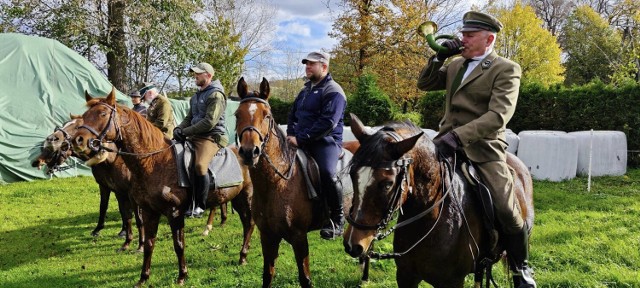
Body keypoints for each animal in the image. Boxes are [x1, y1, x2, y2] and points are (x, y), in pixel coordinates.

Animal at [31, 116, 144, 251]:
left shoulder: (128, 192)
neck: (112, 159)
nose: (51, 139)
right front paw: (101, 230)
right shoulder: (107, 187)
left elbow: (132, 213)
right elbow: (106, 207)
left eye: (77, 127)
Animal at [70, 89, 255, 286]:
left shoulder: (174, 213)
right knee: (246, 224)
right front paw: (143, 278)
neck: (154, 161)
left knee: (250, 223)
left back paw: (242, 254)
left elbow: (178, 244)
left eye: (103, 114)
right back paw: (242, 255)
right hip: (236, 199)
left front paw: (182, 276)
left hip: (247, 198)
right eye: (84, 116)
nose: (78, 140)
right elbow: (149, 244)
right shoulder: (149, 211)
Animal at [235, 77, 358, 288]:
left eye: (267, 115)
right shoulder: (267, 236)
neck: (276, 183)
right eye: (237, 115)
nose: (250, 152)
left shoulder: (299, 237)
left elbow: (305, 279)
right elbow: (267, 275)